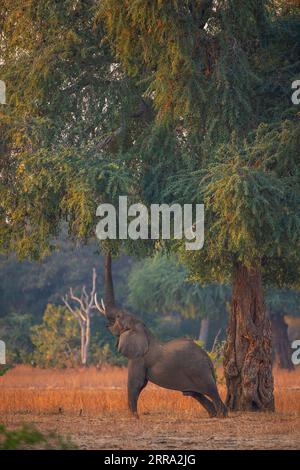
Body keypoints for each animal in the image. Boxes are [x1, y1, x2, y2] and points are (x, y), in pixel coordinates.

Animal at [95, 298, 226, 418]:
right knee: (197, 394)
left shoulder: (139, 359)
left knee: (212, 391)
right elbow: (140, 384)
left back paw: (222, 415)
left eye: (118, 316)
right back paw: (213, 415)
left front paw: (135, 417)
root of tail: (208, 358)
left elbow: (136, 383)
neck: (143, 329)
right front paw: (135, 416)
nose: (106, 324)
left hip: (199, 370)